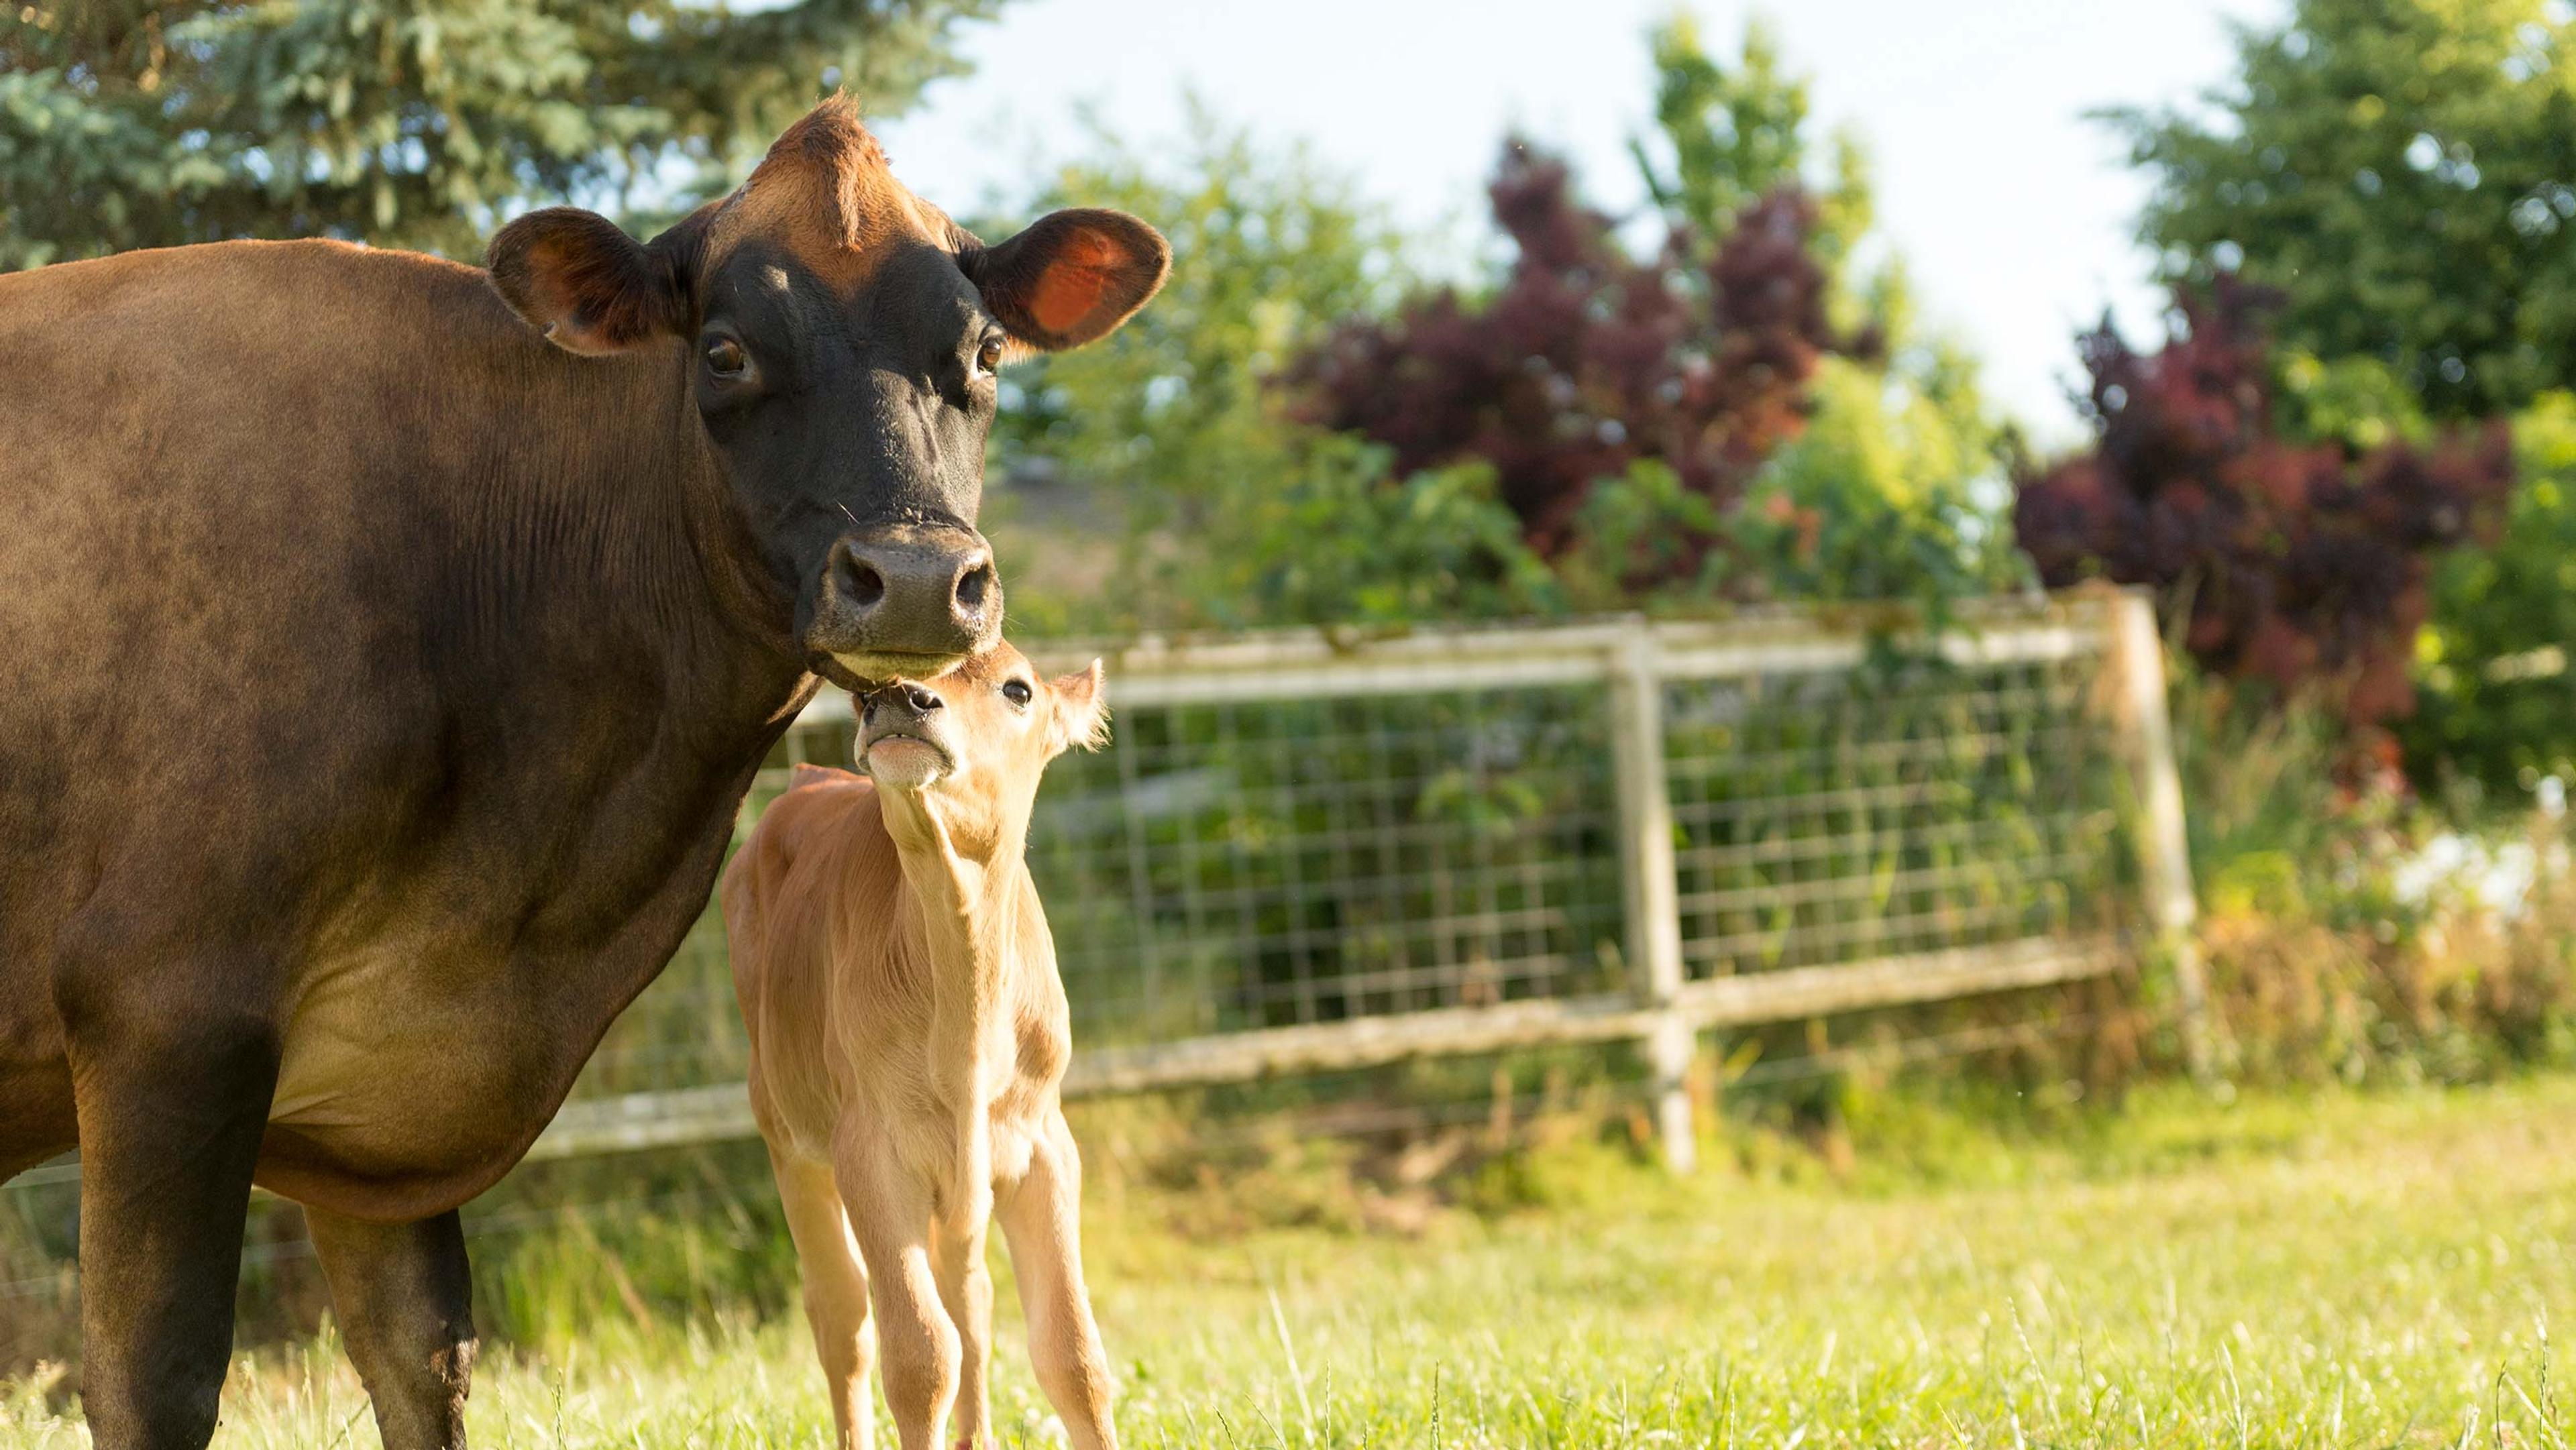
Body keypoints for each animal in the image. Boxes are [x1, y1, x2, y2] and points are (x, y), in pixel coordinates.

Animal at [0, 96, 1166, 1450]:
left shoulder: (386, 1099)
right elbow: (159, 1379)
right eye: (724, 351)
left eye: (983, 351)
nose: (923, 578)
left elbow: (423, 1356)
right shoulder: (164, 1012)